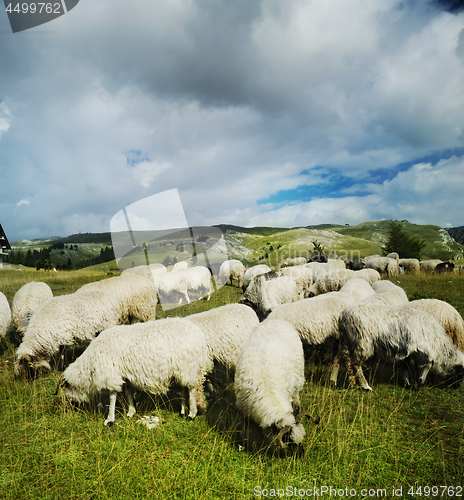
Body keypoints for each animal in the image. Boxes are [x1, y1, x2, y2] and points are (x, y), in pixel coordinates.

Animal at [57, 318, 211, 424]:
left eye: (67, 389)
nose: (73, 407)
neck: (90, 365)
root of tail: (199, 334)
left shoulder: (111, 375)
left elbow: (112, 397)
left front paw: (109, 420)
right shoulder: (126, 376)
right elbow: (129, 394)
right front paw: (131, 412)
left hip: (189, 366)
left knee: (191, 390)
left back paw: (191, 414)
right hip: (183, 369)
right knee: (185, 388)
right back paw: (183, 411)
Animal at [236, 320, 320, 454]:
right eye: (287, 439)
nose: (301, 454)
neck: (268, 393)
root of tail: (276, 320)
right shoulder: (245, 409)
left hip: (297, 379)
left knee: (296, 397)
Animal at [336, 302, 464, 392]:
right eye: (461, 372)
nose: (457, 387)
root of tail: (343, 316)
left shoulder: (408, 350)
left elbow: (406, 365)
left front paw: (407, 383)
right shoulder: (422, 351)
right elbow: (426, 366)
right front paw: (418, 384)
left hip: (346, 342)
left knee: (343, 361)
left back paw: (344, 382)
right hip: (362, 342)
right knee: (355, 364)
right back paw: (365, 386)